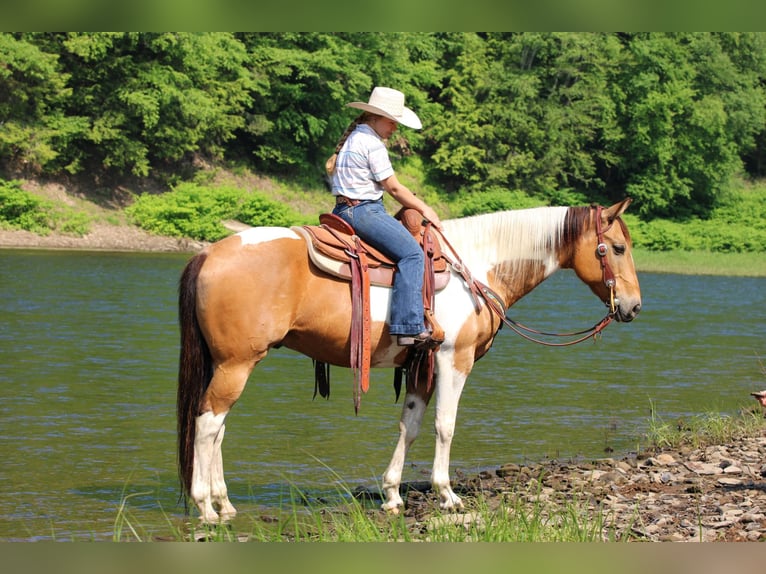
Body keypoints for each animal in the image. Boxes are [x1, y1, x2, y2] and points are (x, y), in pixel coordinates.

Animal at [176, 198, 642, 523]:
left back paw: (224, 502)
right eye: (617, 247)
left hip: (230, 362)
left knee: (217, 428)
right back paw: (205, 507)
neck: (477, 267)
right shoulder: (455, 360)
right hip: (236, 363)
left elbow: (411, 425)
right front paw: (447, 494)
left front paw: (392, 494)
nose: (634, 307)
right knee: (208, 424)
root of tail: (208, 254)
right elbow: (445, 425)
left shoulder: (421, 364)